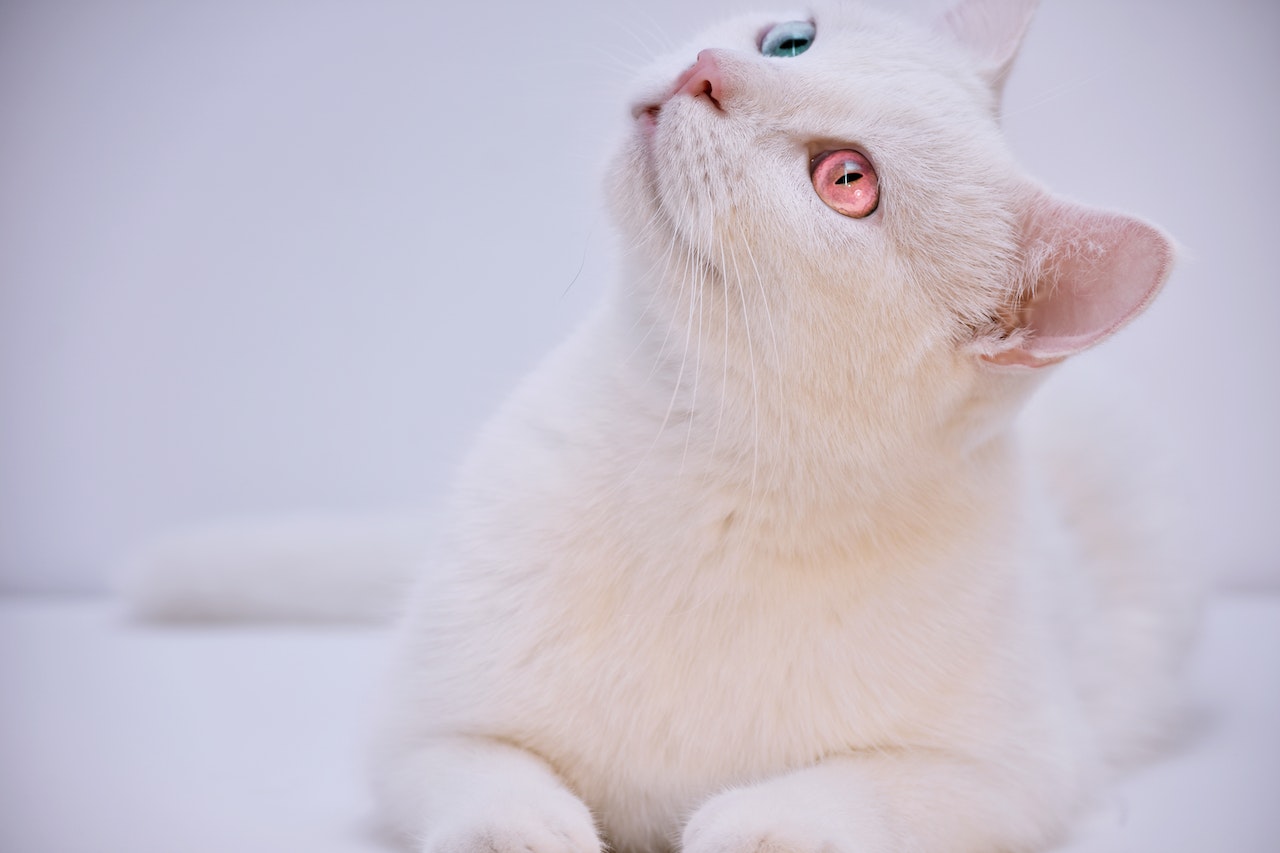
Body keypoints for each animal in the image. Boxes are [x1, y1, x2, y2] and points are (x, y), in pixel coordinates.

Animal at [122, 1, 1198, 850]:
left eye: (846, 181)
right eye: (791, 38)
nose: (708, 70)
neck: (695, 471)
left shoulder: (1017, 771)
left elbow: (856, 792)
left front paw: (754, 824)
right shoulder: (416, 725)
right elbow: (483, 770)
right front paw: (528, 830)